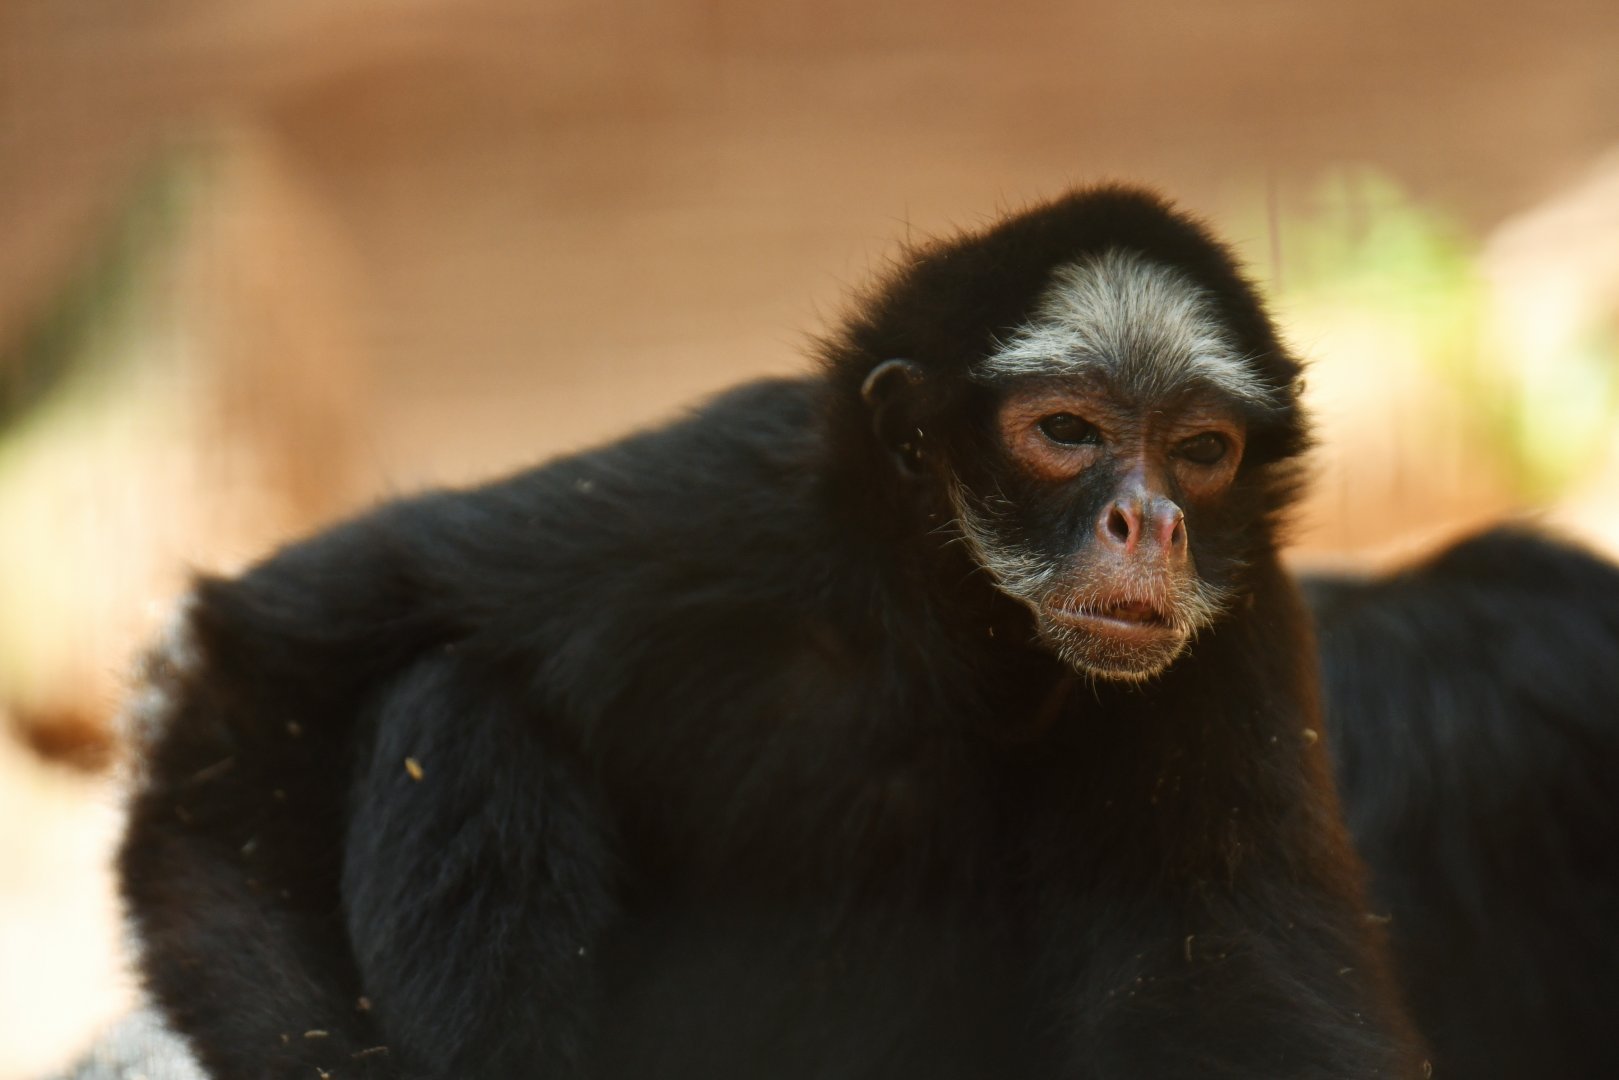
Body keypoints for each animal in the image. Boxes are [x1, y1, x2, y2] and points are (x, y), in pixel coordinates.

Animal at [119, 186, 1429, 1078]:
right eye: (1065, 431)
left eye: (1200, 450)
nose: (1147, 520)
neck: (950, 657)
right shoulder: (718, 505)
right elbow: (249, 679)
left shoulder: (1233, 638)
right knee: (451, 701)